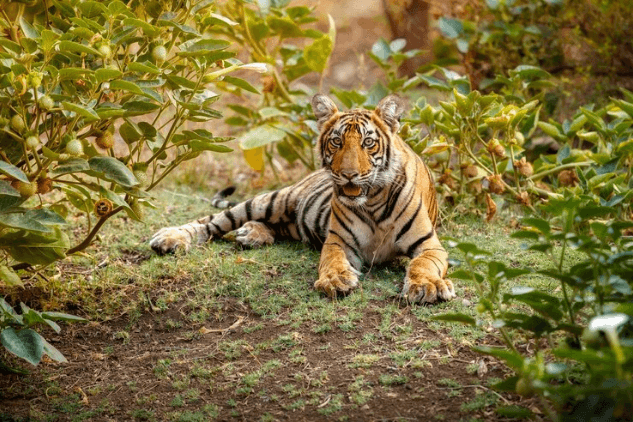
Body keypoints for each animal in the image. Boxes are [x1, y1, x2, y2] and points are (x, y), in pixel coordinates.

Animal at [148, 94, 454, 304]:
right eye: (337, 142)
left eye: (368, 142)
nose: (349, 175)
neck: (372, 201)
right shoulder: (338, 242)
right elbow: (332, 260)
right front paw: (336, 279)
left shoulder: (429, 244)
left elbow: (422, 264)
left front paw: (427, 287)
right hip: (273, 200)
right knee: (211, 221)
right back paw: (170, 238)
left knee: (273, 227)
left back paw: (252, 234)